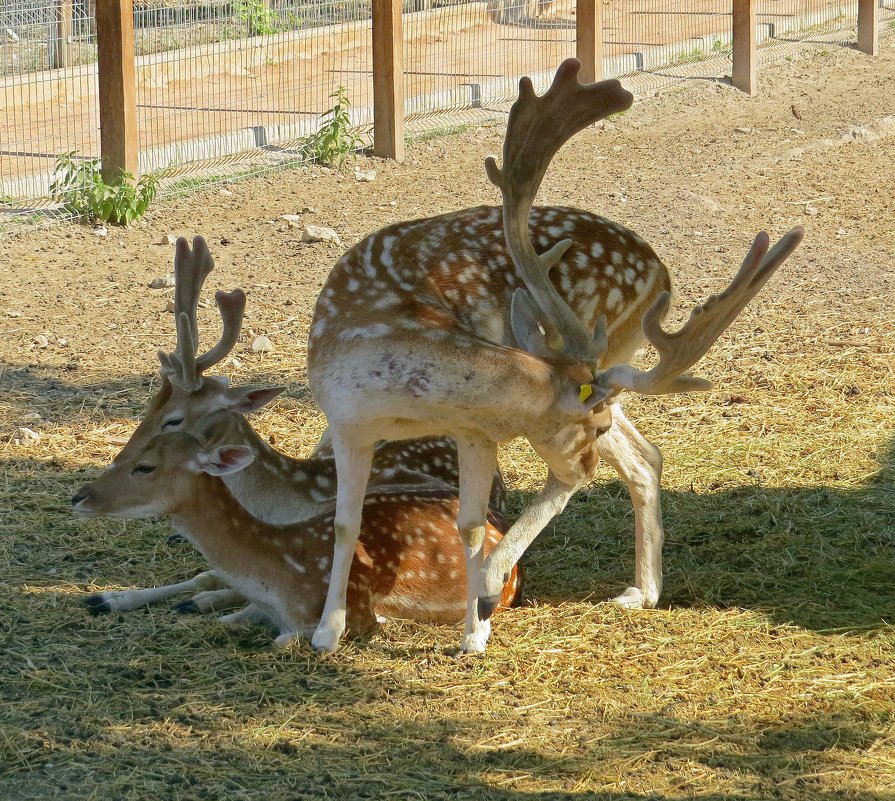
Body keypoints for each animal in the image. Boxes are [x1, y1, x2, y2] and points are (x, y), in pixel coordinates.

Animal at [308, 59, 804, 652]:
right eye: (591, 424)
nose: (586, 467)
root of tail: (660, 273)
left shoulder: (471, 428)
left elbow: (469, 525)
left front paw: (476, 628)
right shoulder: (347, 424)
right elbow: (346, 522)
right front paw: (325, 632)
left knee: (628, 460)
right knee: (647, 455)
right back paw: (642, 590)